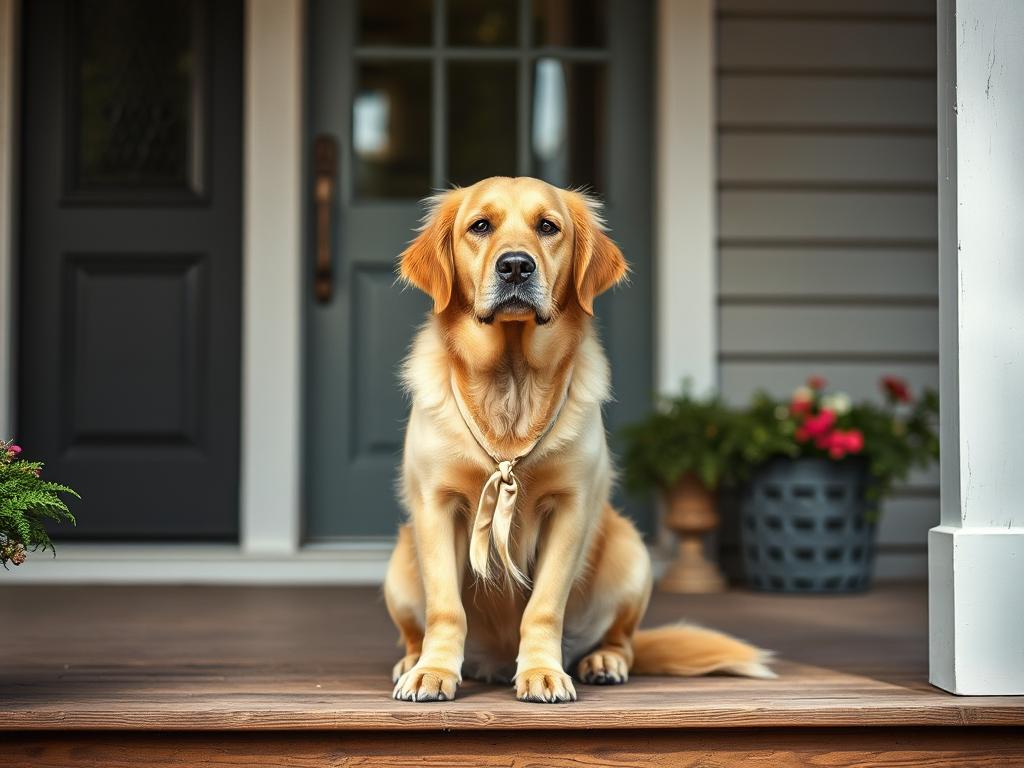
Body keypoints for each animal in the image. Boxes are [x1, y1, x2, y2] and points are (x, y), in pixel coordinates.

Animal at [387, 179, 770, 704]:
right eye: (480, 226)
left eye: (548, 226)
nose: (515, 265)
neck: (512, 385)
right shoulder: (435, 504)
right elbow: (445, 606)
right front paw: (434, 670)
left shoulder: (571, 507)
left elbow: (544, 606)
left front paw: (542, 672)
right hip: (399, 565)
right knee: (415, 627)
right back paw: (412, 659)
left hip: (630, 552)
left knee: (623, 639)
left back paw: (602, 660)